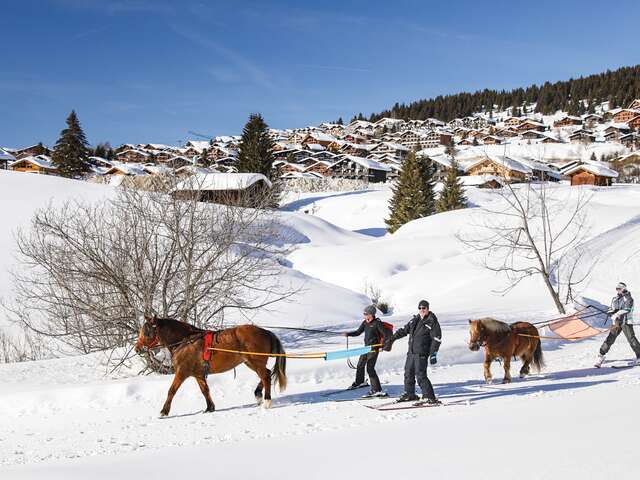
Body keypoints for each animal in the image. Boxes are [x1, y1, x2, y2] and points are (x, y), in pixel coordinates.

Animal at [135, 316, 288, 416]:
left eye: (147, 332)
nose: (137, 349)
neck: (185, 342)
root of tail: (265, 331)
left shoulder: (182, 372)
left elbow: (172, 390)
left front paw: (164, 411)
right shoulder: (198, 374)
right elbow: (205, 390)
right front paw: (210, 407)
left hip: (256, 361)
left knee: (266, 376)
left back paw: (266, 401)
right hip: (250, 362)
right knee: (266, 374)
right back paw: (258, 394)